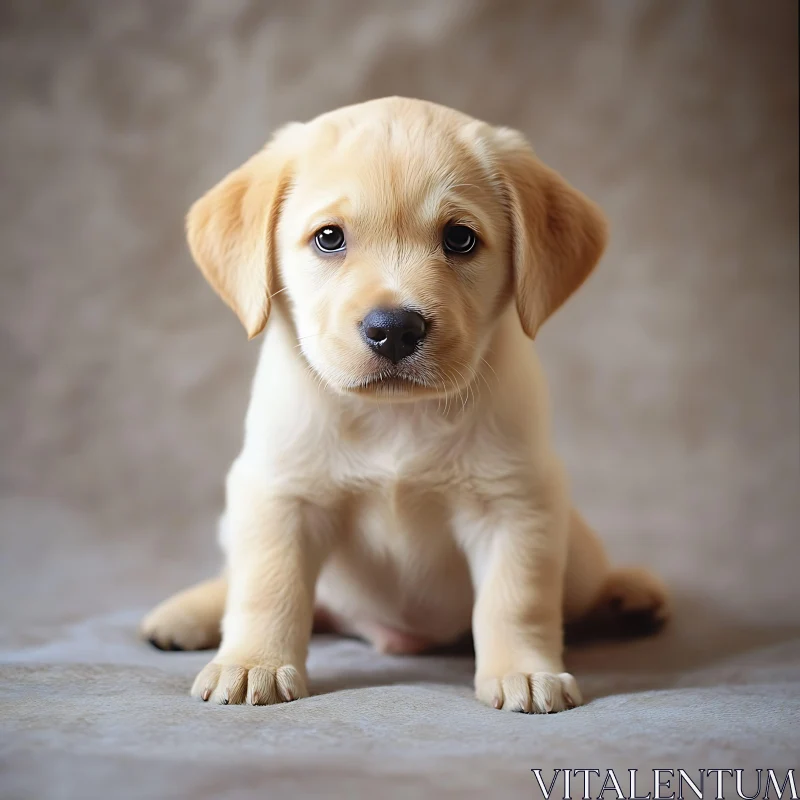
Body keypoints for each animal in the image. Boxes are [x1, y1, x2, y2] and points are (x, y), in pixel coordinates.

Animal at [141, 95, 664, 712]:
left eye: (460, 239)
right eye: (329, 238)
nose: (393, 328)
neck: (396, 417)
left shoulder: (517, 504)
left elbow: (517, 599)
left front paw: (525, 670)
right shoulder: (278, 493)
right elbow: (267, 586)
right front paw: (252, 664)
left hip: (575, 551)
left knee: (578, 592)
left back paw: (628, 594)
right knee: (251, 583)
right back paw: (188, 614)